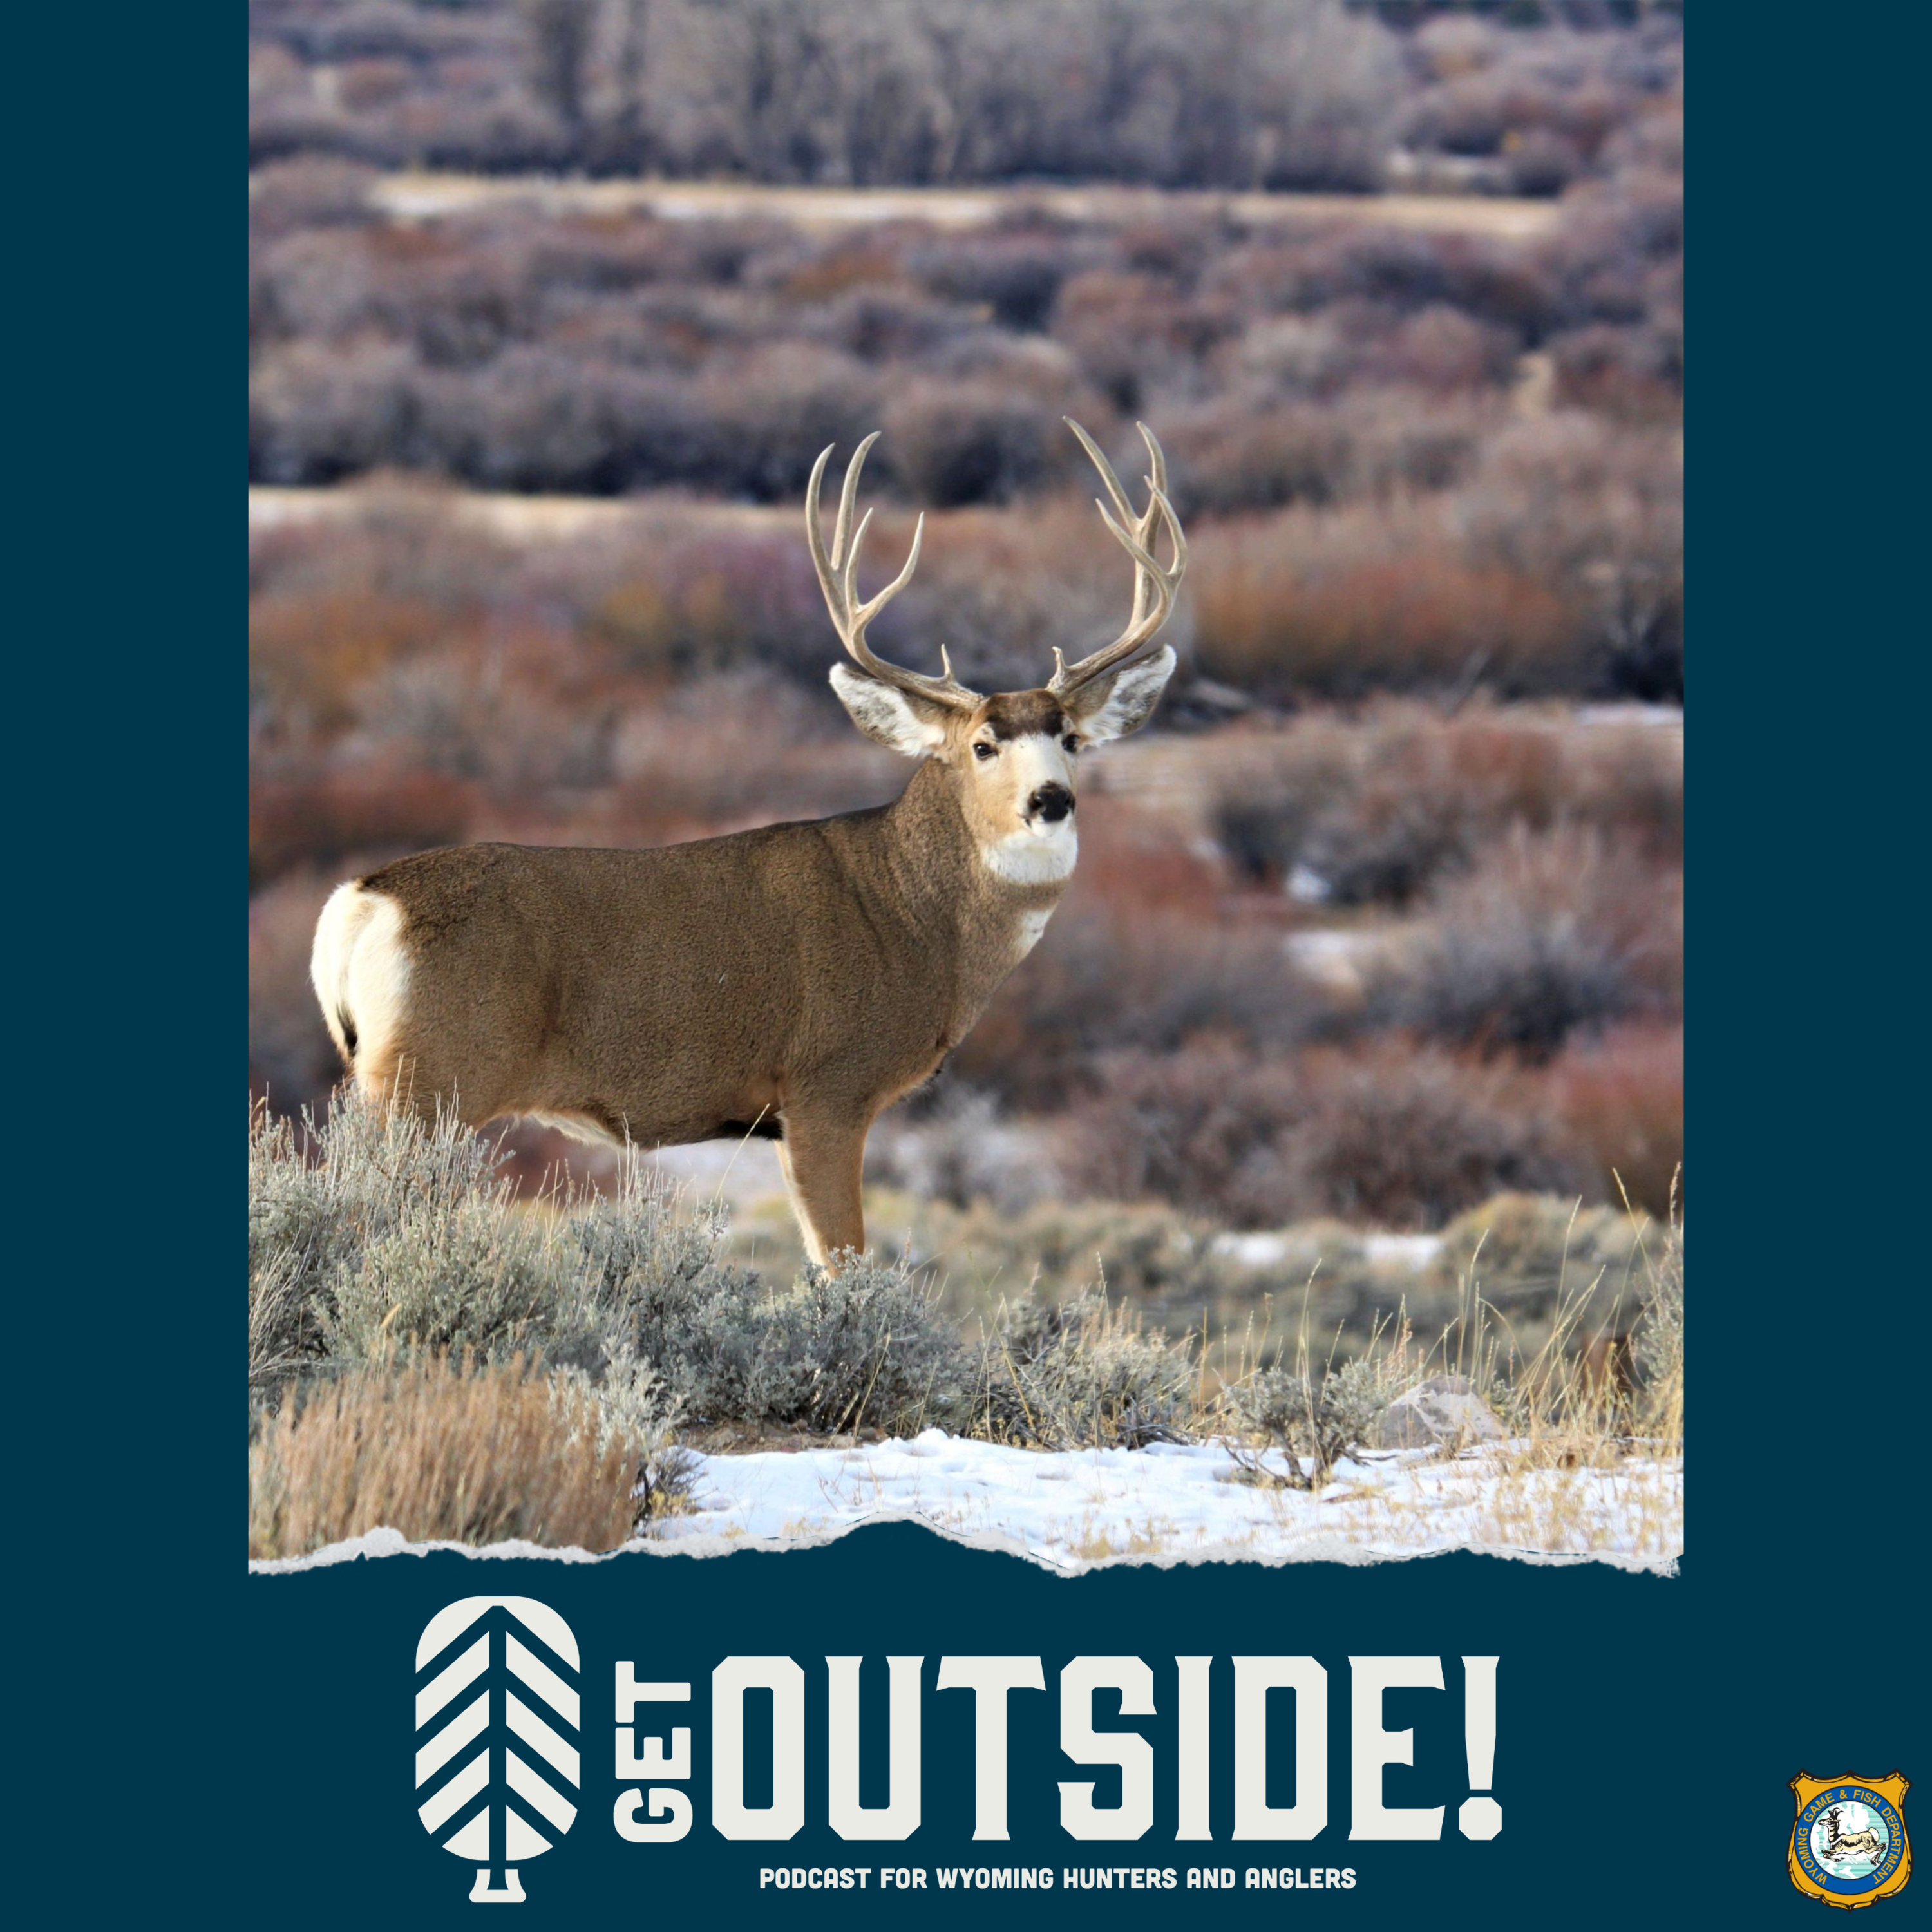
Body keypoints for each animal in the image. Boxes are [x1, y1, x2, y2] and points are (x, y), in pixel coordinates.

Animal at [311, 419, 1187, 1267]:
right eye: (981, 745)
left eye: (1071, 738)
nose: (1051, 799)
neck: (915, 919)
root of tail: (363, 900)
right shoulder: (827, 1086)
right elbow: (843, 1267)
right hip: (433, 1077)